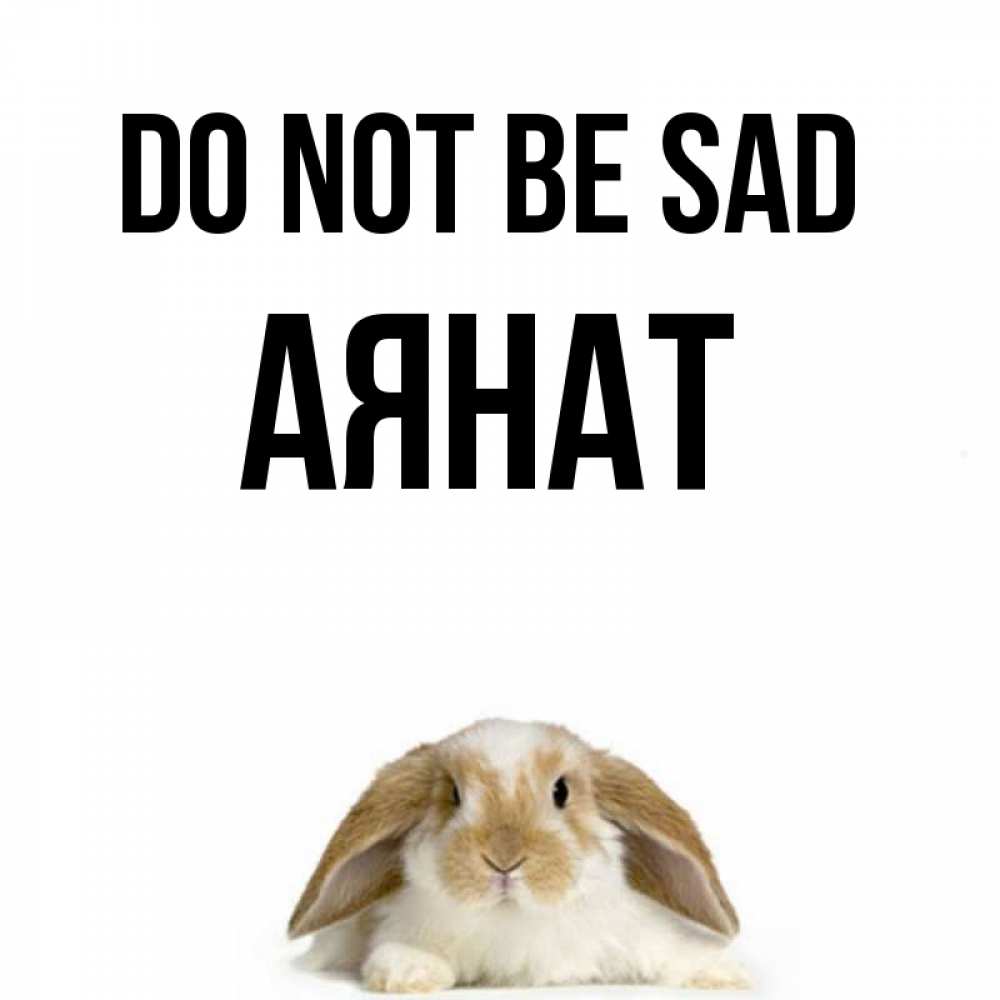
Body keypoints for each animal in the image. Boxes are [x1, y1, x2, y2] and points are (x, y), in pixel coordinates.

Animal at [288, 719, 750, 991]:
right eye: (454, 795)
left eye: (561, 791)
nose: (504, 859)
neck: (514, 918)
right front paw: (409, 973)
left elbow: (674, 950)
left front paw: (725, 973)